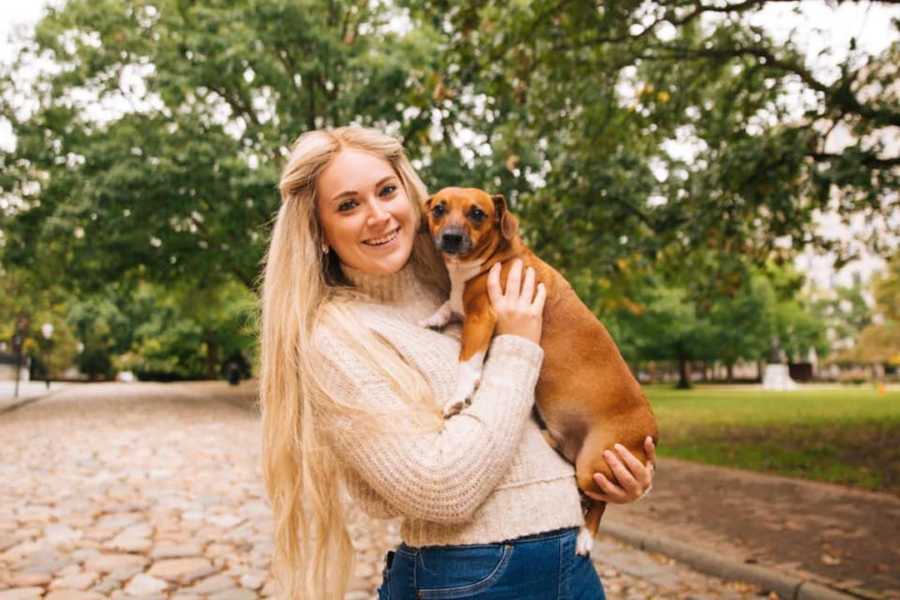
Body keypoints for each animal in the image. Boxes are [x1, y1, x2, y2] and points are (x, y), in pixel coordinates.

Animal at [422, 186, 660, 552]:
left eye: (477, 213)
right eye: (438, 209)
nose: (451, 237)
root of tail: (651, 430)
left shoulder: (481, 320)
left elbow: (467, 362)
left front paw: (459, 398)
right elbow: (449, 304)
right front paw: (436, 315)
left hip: (595, 465)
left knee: (598, 501)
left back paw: (585, 538)